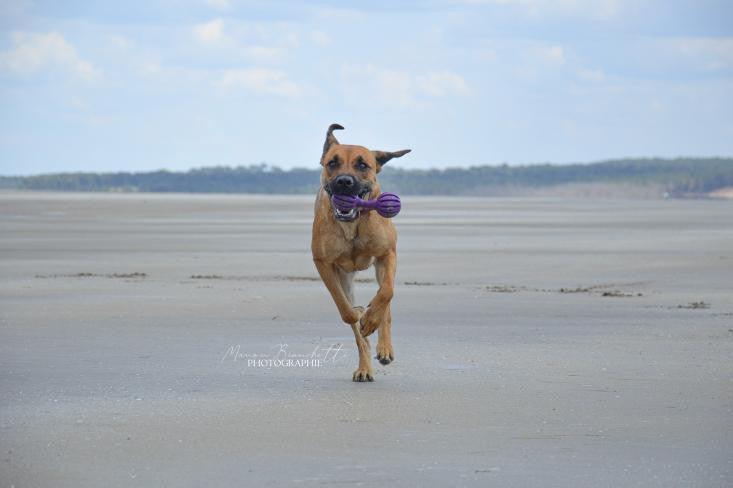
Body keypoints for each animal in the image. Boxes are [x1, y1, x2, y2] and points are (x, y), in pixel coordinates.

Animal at [310, 123, 412, 382]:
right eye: (332, 163)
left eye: (362, 165)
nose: (344, 182)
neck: (352, 224)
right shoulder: (324, 264)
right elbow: (345, 309)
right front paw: (358, 315)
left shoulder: (387, 255)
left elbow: (386, 293)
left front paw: (372, 318)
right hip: (345, 276)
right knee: (359, 335)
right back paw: (365, 366)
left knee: (386, 306)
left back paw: (384, 347)